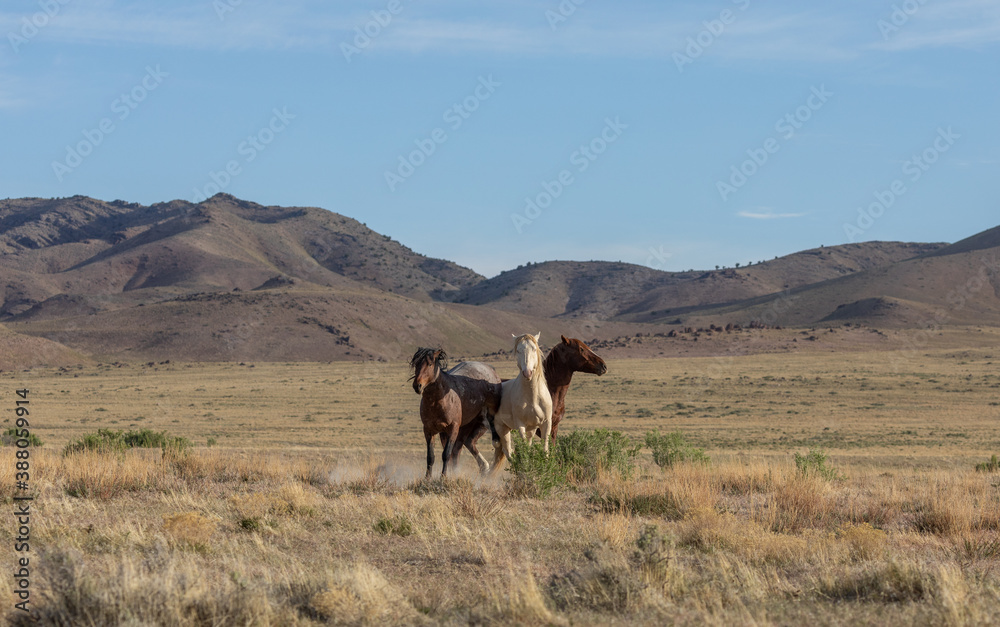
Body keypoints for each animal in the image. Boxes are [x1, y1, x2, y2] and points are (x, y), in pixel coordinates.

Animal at [408, 348, 500, 480]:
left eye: (430, 364)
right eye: (416, 364)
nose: (417, 385)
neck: (439, 400)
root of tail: (491, 370)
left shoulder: (453, 429)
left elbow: (446, 454)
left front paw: (443, 477)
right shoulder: (429, 430)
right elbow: (431, 456)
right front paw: (427, 478)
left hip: (484, 423)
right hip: (467, 426)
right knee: (463, 447)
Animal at [486, 334, 552, 476]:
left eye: (534, 349)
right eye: (519, 351)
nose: (527, 373)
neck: (533, 397)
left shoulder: (545, 423)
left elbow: (544, 449)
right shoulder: (520, 425)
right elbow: (523, 450)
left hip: (529, 429)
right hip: (502, 429)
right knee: (508, 452)